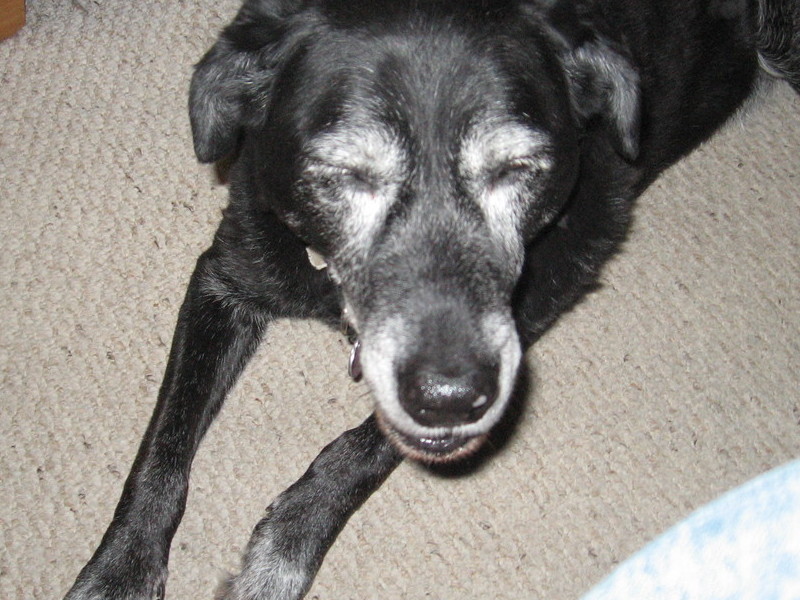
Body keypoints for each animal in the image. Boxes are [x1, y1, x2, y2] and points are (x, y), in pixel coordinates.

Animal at [64, 1, 800, 600]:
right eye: (343, 173)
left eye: (518, 168)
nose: (451, 398)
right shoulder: (228, 274)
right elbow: (162, 447)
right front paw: (120, 570)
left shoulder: (542, 296)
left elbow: (363, 448)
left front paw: (285, 547)